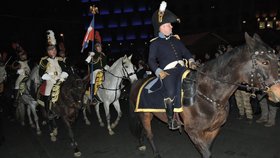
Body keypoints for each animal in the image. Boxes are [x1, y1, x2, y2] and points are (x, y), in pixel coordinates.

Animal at [130, 32, 280, 158]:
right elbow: (206, 153)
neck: (208, 95)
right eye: (265, 62)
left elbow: (208, 150)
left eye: (277, 59)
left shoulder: (213, 129)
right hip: (144, 115)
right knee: (149, 134)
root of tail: (137, 82)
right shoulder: (193, 132)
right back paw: (155, 153)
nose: (277, 92)